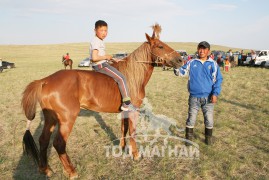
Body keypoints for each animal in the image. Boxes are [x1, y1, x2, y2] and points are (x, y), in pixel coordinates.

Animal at [22, 24, 183, 179]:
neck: (133, 75)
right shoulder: (133, 110)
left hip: (50, 117)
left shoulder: (125, 111)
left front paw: (122, 148)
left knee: (43, 140)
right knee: (59, 144)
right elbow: (132, 131)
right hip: (67, 119)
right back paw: (72, 172)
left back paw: (45, 170)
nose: (181, 60)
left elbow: (123, 129)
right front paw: (136, 154)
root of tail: (45, 81)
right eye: (160, 46)